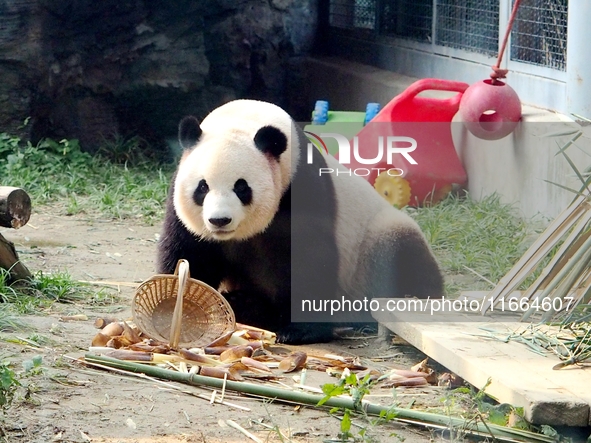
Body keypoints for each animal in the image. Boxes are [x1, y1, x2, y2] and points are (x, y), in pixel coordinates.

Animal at [157, 99, 444, 346]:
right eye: (202, 187)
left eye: (241, 187)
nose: (219, 220)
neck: (245, 118)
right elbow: (190, 252)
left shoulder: (301, 187)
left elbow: (309, 258)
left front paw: (300, 331)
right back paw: (244, 303)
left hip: (378, 243)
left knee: (403, 260)